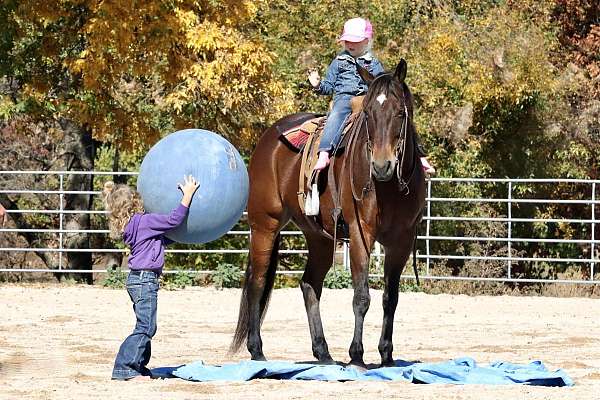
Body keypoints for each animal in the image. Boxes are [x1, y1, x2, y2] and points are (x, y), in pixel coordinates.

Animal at [231, 57, 426, 368]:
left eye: (399, 112)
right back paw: (257, 350)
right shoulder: (360, 234)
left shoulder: (402, 241)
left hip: (319, 238)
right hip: (264, 226)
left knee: (310, 285)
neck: (388, 187)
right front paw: (357, 355)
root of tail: (270, 138)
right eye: (368, 114)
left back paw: (323, 352)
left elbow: (390, 298)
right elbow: (361, 297)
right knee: (257, 283)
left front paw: (387, 355)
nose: (382, 165)